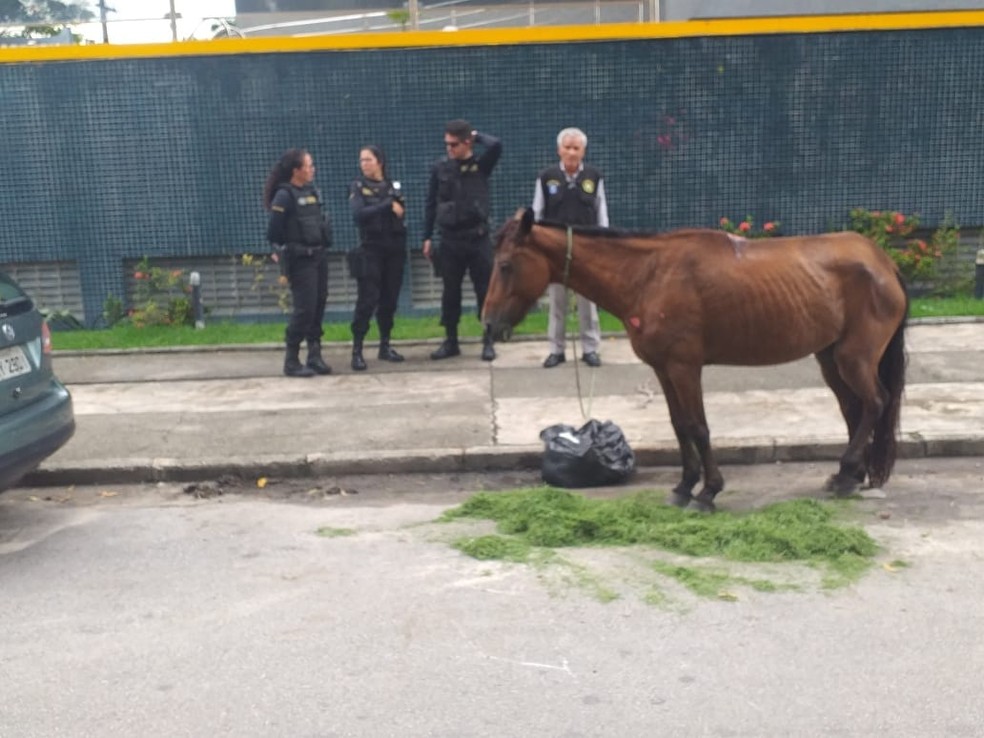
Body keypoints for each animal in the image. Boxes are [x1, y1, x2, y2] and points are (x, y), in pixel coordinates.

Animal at [484, 207, 908, 506]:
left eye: (505, 265)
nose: (488, 322)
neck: (650, 275)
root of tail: (882, 262)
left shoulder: (684, 368)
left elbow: (699, 427)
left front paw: (708, 491)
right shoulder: (663, 370)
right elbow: (679, 425)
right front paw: (684, 486)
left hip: (854, 358)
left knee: (875, 402)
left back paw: (849, 471)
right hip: (830, 358)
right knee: (854, 409)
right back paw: (848, 476)